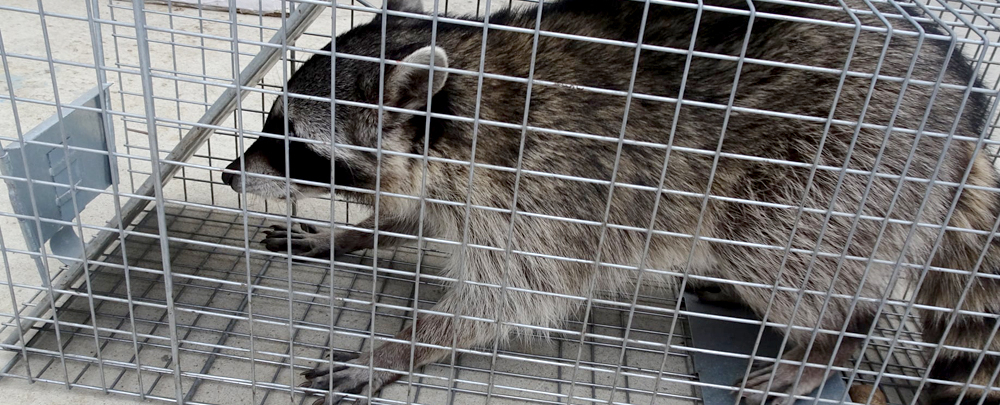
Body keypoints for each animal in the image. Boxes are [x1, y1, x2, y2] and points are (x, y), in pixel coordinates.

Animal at [221, 0, 1000, 404]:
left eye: (293, 144)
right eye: (273, 124)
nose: (229, 174)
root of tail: (965, 110)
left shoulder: (543, 187)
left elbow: (519, 295)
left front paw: (405, 345)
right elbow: (409, 215)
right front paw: (350, 233)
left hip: (839, 162)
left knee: (781, 248)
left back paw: (832, 336)